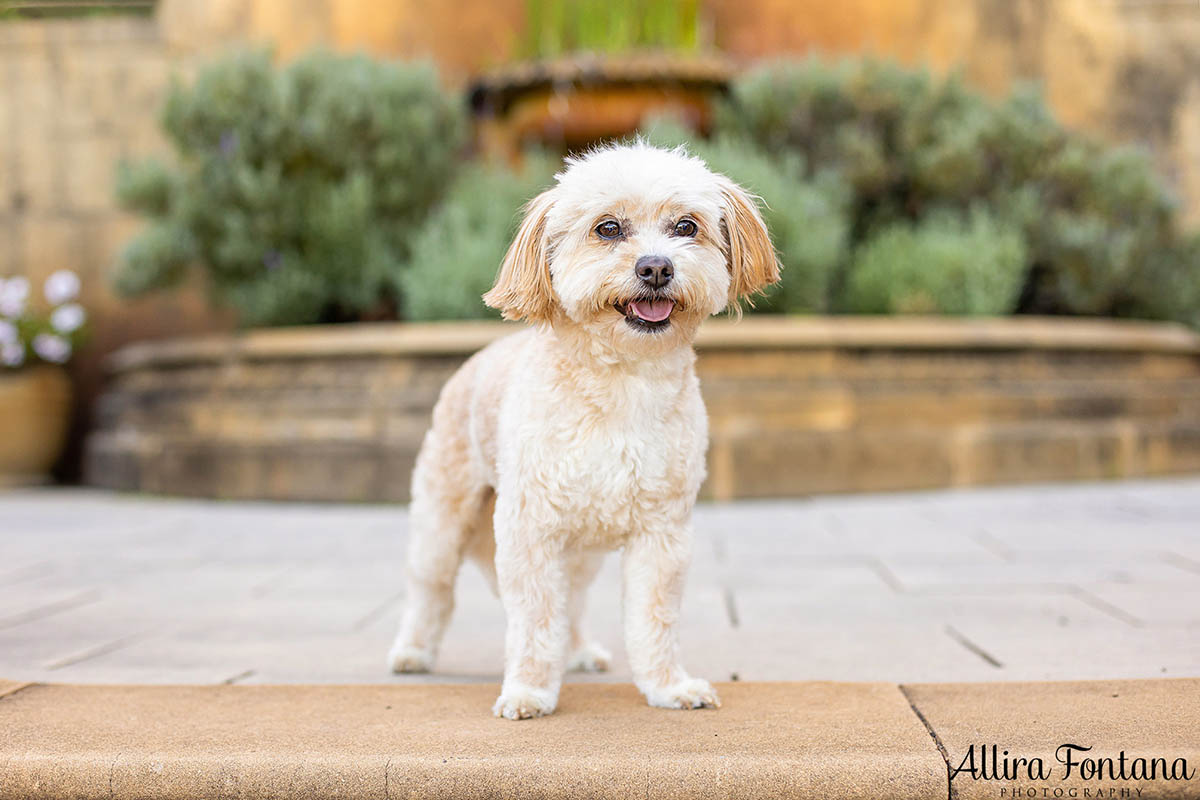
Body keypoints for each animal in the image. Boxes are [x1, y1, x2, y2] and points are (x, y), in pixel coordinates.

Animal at [384, 139, 777, 719]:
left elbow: (652, 619)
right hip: (442, 517)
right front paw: (528, 690)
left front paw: (668, 685)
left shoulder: (662, 534)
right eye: (607, 228)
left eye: (686, 226)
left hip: (582, 552)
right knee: (431, 589)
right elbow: (532, 620)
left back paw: (578, 652)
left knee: (570, 602)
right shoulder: (529, 530)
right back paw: (413, 652)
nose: (656, 267)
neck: (622, 383)